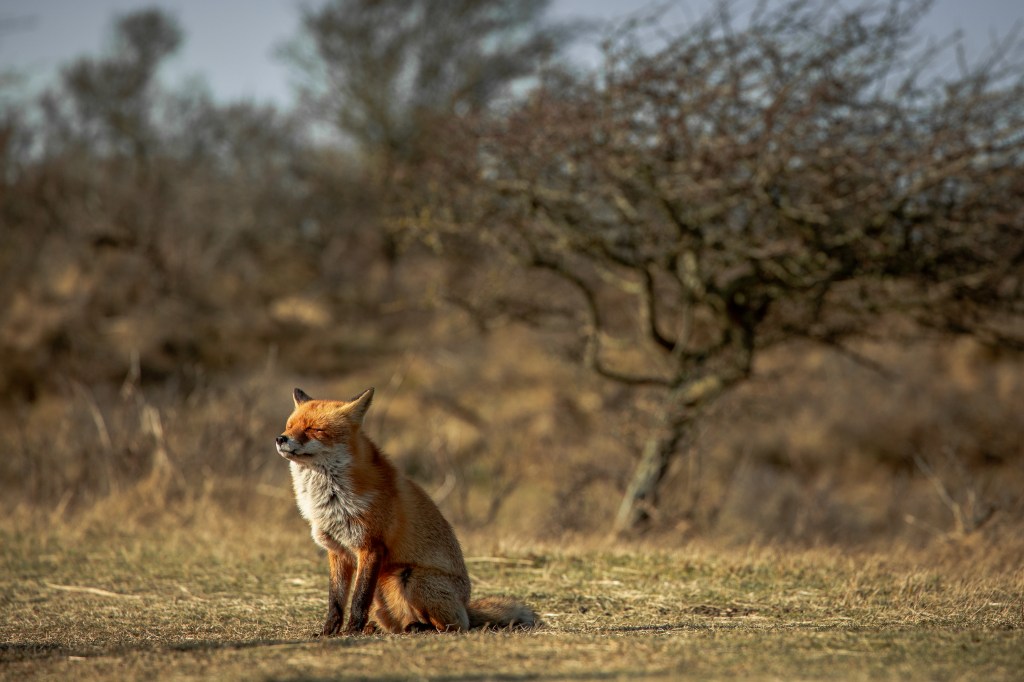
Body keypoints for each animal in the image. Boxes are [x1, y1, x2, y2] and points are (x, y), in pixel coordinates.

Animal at [275, 387, 537, 635]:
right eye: (290, 426)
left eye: (314, 429)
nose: (280, 438)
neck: (329, 498)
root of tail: (466, 606)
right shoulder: (337, 551)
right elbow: (335, 601)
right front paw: (328, 632)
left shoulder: (371, 546)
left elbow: (359, 599)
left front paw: (351, 631)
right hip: (383, 596)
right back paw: (380, 628)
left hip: (409, 577)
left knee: (454, 626)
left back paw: (421, 628)